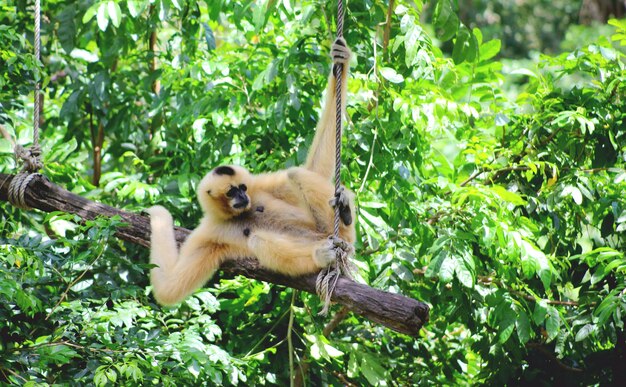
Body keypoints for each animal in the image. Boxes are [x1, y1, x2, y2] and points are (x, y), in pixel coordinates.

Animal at [144, 38, 354, 306]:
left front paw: (341, 62)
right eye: (231, 192)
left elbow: (314, 168)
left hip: (334, 233)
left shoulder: (260, 184)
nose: (243, 197)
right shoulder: (208, 234)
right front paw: (158, 214)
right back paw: (321, 255)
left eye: (242, 188)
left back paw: (345, 213)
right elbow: (168, 289)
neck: (239, 215)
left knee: (295, 174)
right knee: (258, 239)